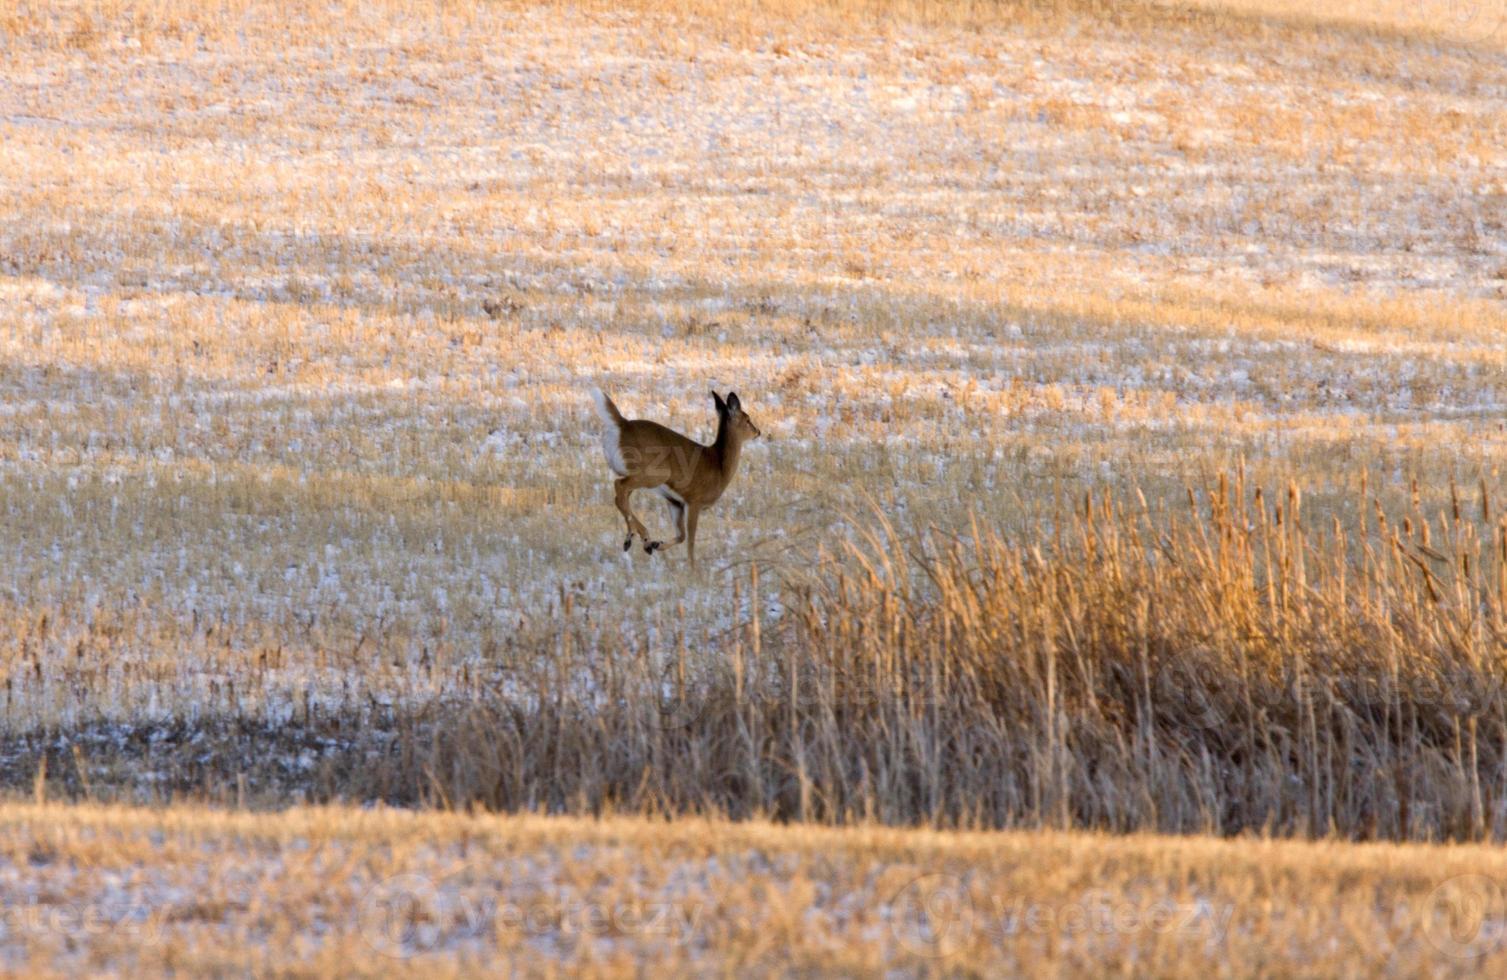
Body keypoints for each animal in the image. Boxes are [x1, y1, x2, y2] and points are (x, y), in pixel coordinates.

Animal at [590, 382, 759, 560]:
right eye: (748, 419)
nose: (758, 431)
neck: (719, 466)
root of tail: (622, 425)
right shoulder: (694, 500)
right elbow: (690, 543)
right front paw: (691, 566)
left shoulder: (675, 502)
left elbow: (681, 536)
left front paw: (658, 544)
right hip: (654, 473)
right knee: (619, 486)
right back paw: (645, 538)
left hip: (633, 473)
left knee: (620, 497)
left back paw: (635, 541)